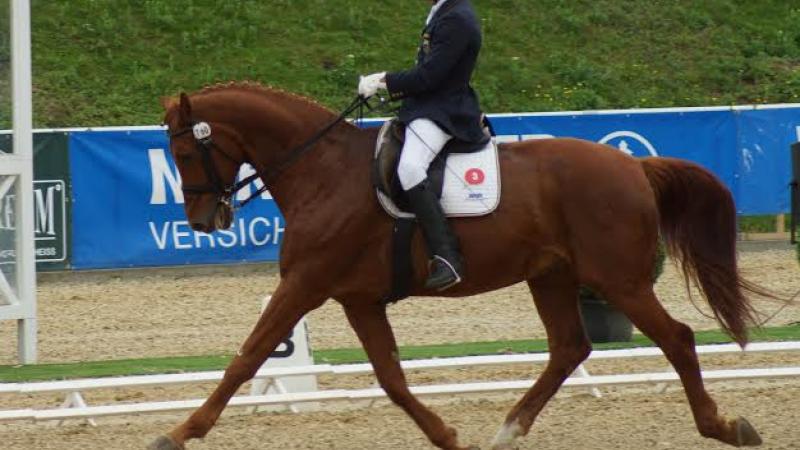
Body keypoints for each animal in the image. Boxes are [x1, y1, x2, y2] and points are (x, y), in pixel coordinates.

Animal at [155, 82, 764, 450]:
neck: (322, 172)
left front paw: (181, 431)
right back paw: (507, 431)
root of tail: (634, 164)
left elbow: (248, 356)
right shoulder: (358, 298)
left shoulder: (305, 283)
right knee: (569, 348)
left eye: (184, 153)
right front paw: (448, 435)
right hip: (552, 275)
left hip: (618, 280)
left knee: (677, 338)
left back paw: (725, 426)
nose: (205, 221)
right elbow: (392, 378)